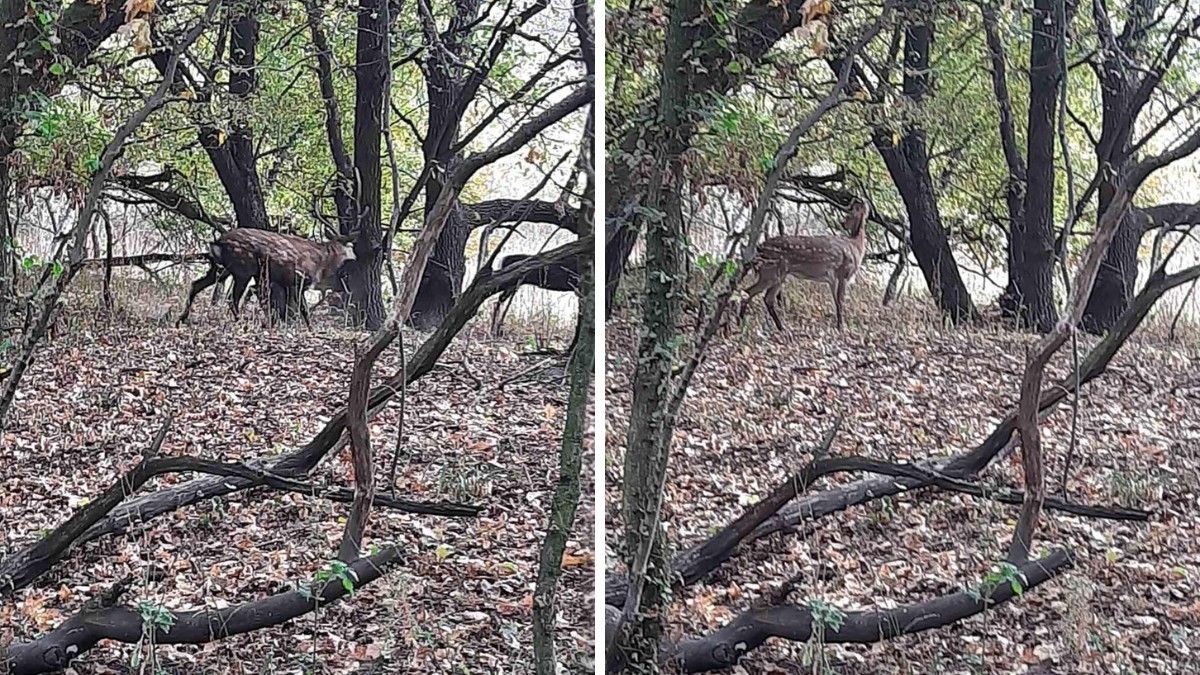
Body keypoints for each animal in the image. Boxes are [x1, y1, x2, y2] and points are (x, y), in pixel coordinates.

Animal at [176, 228, 355, 326]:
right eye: (349, 246)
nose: (354, 259)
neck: (322, 265)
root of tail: (218, 242)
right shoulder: (298, 280)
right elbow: (303, 310)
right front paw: (309, 329)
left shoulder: (286, 283)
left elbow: (286, 308)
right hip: (243, 269)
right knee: (232, 298)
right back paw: (240, 322)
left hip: (220, 268)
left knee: (196, 284)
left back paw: (181, 319)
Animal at [734, 198, 868, 329]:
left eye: (849, 214)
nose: (842, 223)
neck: (856, 245)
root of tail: (759, 248)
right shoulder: (844, 272)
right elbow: (840, 301)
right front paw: (841, 328)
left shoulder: (833, 279)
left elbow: (836, 301)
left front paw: (838, 326)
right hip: (771, 271)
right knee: (753, 294)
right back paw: (745, 324)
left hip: (777, 274)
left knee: (764, 297)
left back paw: (775, 327)